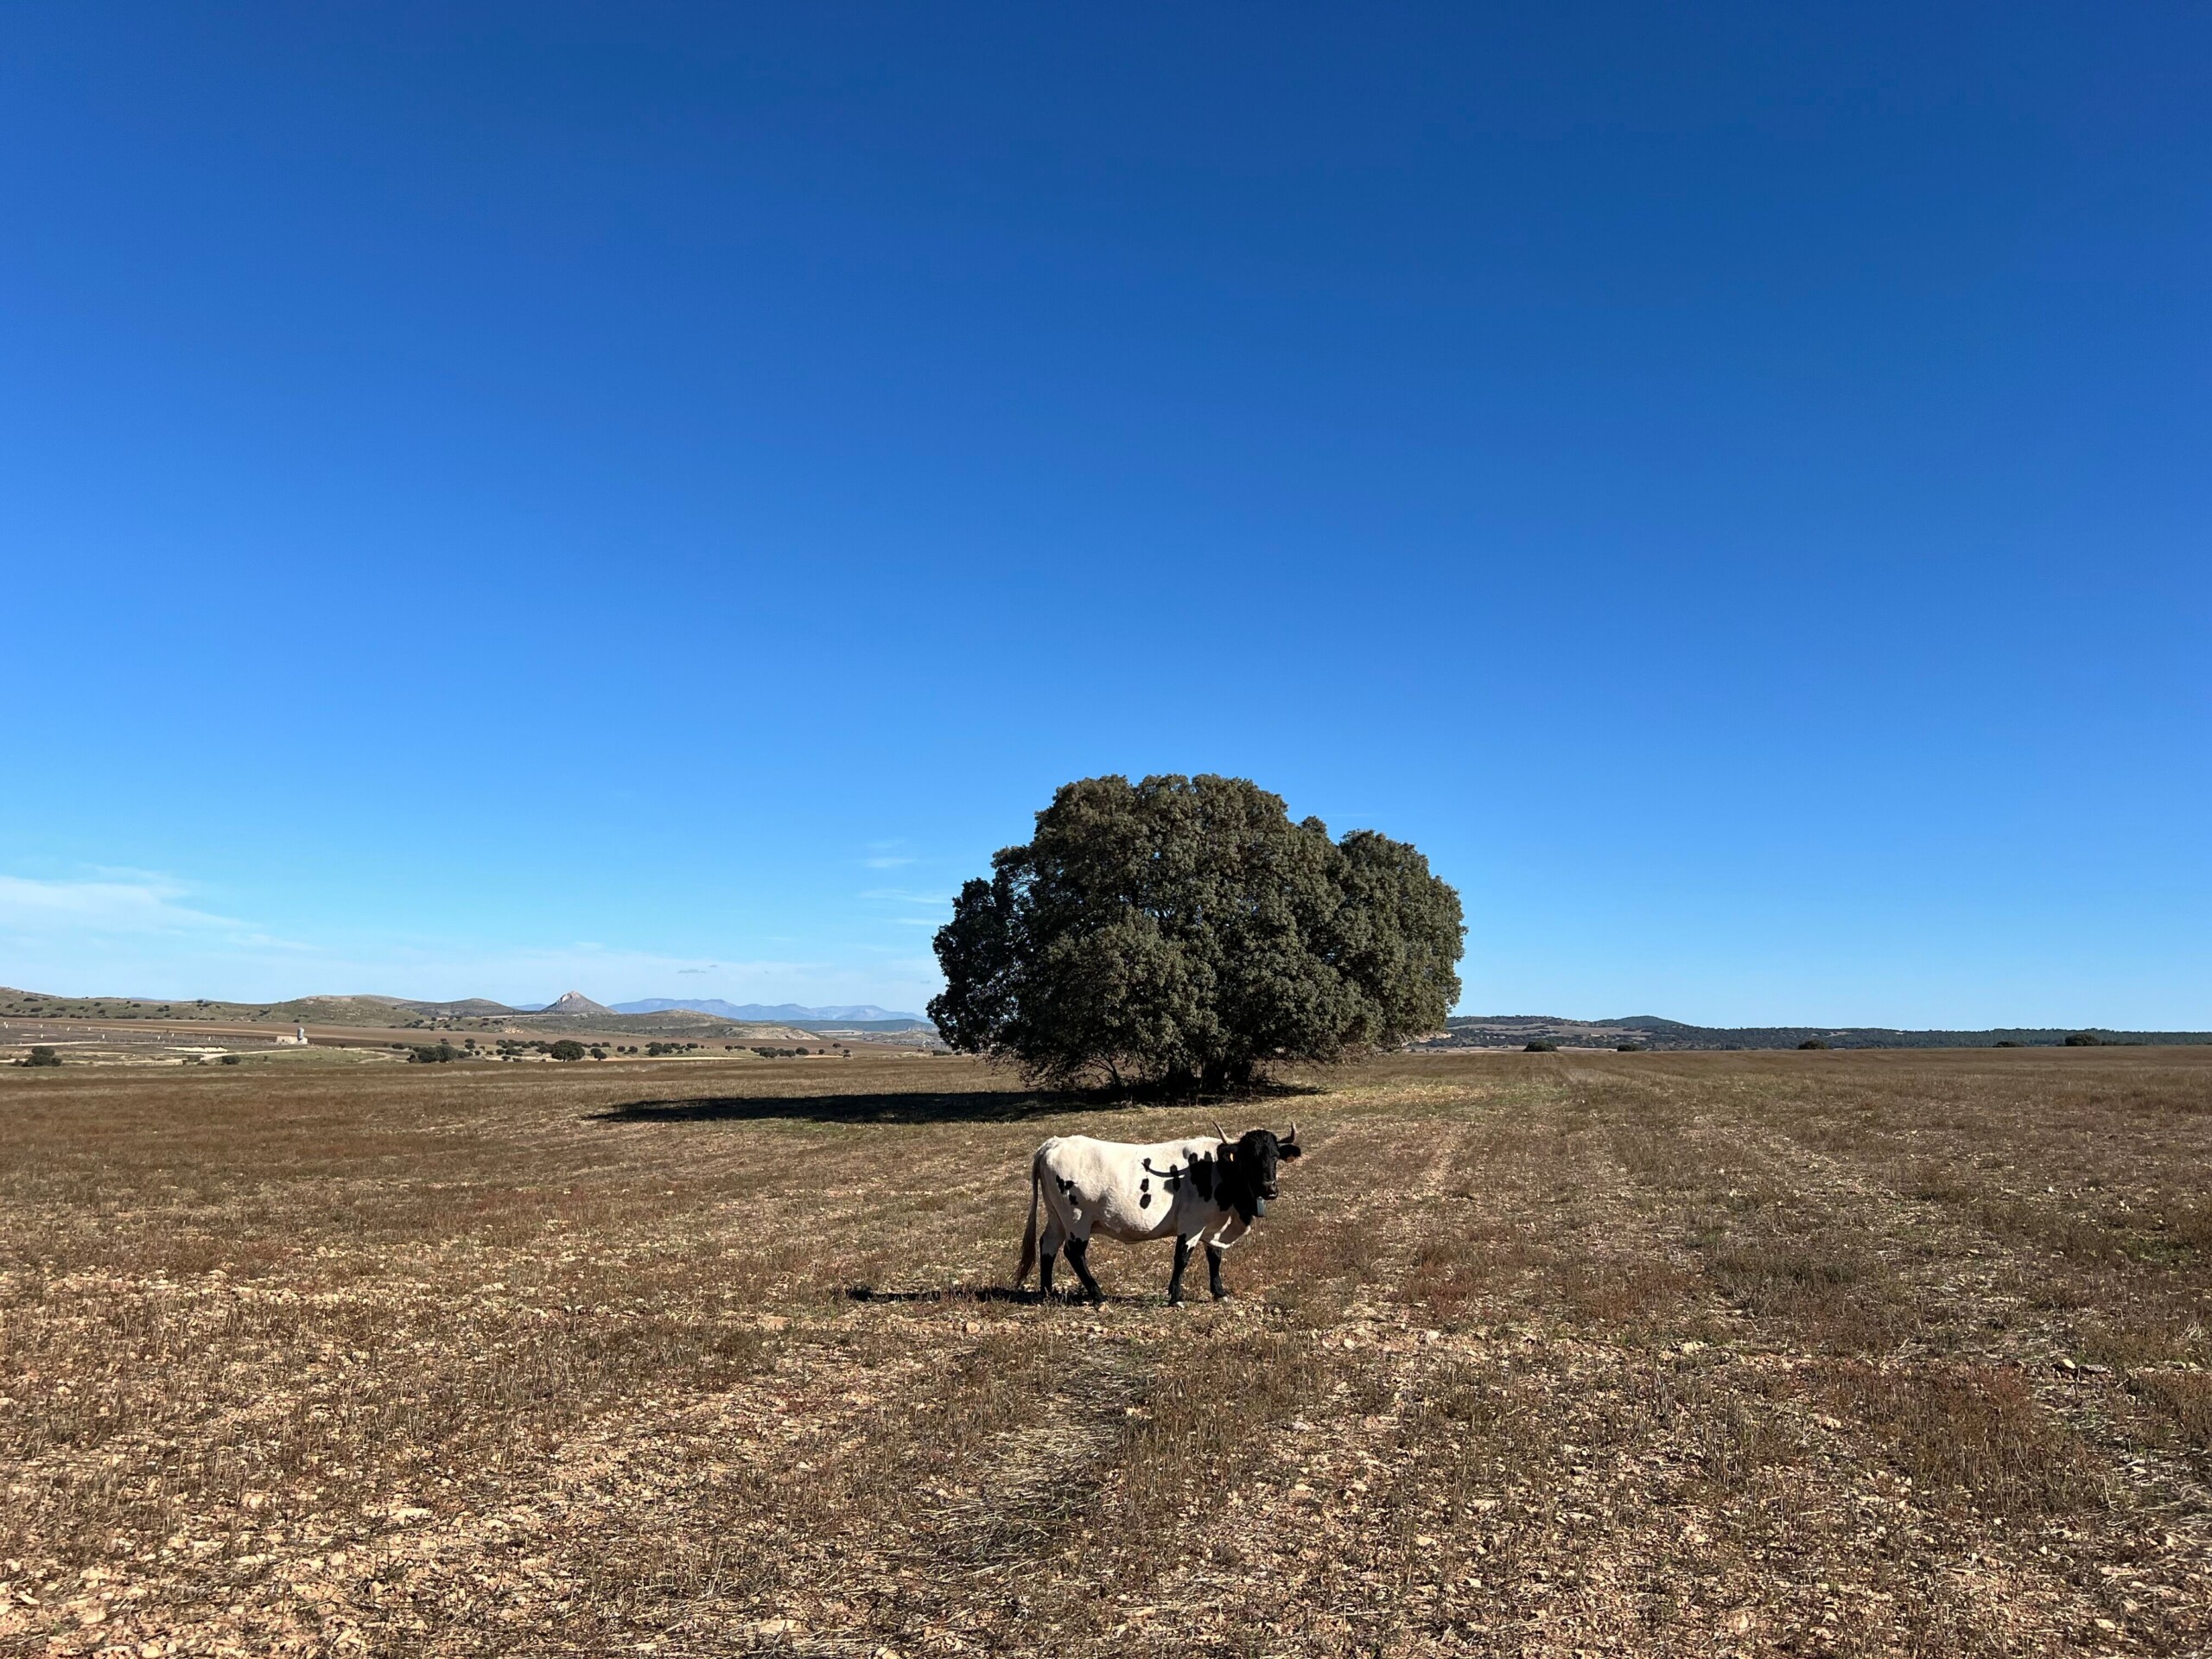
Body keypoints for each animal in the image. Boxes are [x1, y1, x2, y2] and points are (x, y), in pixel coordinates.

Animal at [1015, 1124, 1303, 1305]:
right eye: (1248, 1158)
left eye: (1275, 1157)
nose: (1270, 1189)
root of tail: (1055, 1143)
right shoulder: (1191, 1225)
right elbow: (1182, 1258)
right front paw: (1175, 1297)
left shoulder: (1213, 1227)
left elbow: (1215, 1258)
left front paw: (1219, 1293)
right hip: (1076, 1219)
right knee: (1073, 1253)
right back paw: (1098, 1296)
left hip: (1057, 1218)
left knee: (1048, 1246)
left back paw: (1048, 1292)